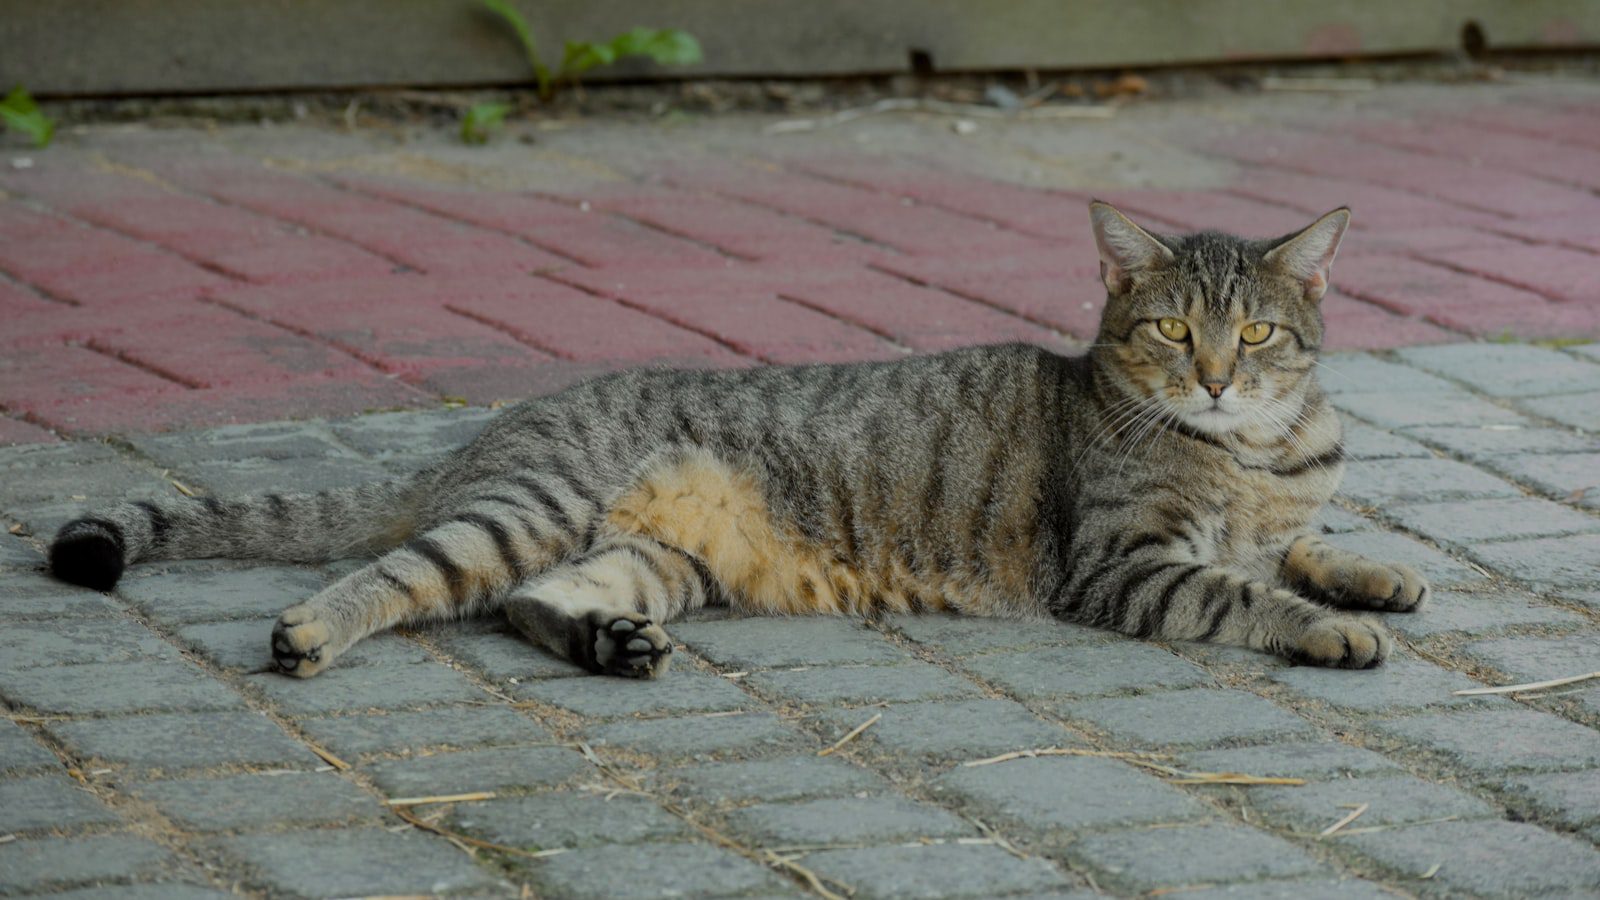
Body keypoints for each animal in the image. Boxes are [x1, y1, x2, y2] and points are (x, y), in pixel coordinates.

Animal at [46, 201, 1427, 672]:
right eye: (1169, 332)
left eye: (1257, 333)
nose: (1213, 380)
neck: (1256, 455)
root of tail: (492, 429)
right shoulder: (1122, 564)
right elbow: (1248, 592)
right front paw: (1337, 625)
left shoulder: (1274, 510)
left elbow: (1306, 546)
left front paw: (1375, 572)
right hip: (531, 510)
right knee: (398, 576)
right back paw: (309, 632)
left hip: (656, 558)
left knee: (531, 604)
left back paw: (610, 647)